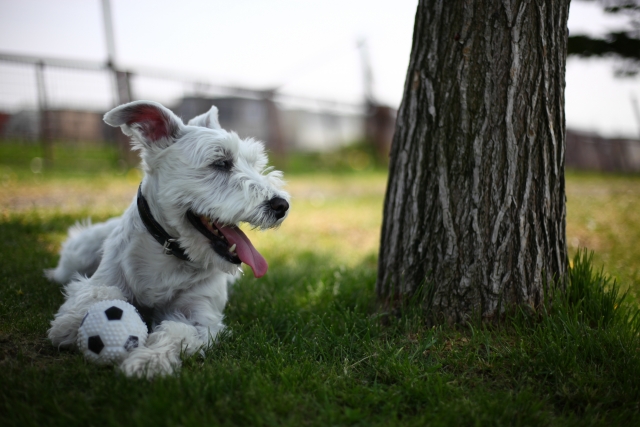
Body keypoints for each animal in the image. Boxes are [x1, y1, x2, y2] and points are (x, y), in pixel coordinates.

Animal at [42, 102, 288, 380]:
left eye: (255, 164)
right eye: (221, 163)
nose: (282, 205)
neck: (170, 252)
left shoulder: (202, 318)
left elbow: (176, 332)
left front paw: (149, 360)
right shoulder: (105, 277)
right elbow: (100, 291)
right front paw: (70, 323)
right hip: (80, 252)